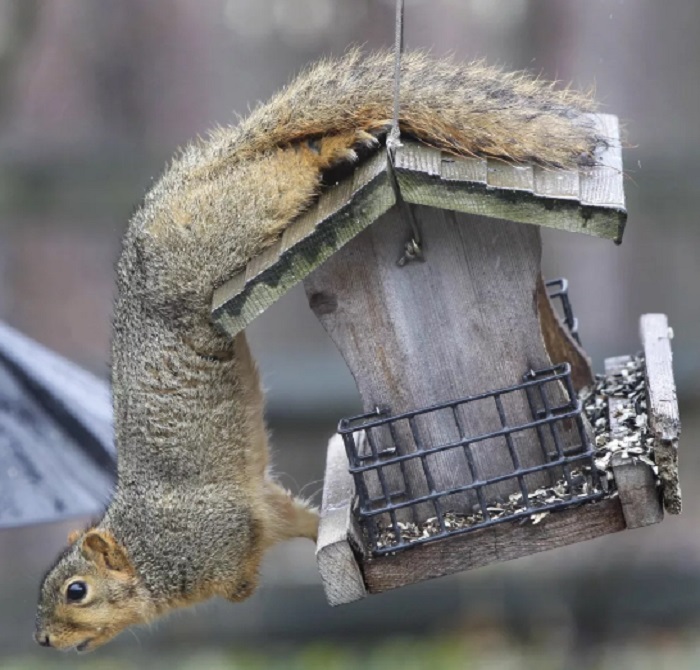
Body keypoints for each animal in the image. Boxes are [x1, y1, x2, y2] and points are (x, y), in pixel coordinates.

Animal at [34, 50, 600, 652]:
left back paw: (335, 148)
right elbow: (302, 521)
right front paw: (342, 534)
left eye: (76, 591)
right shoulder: (270, 505)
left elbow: (240, 569)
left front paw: (245, 587)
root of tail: (150, 223)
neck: (144, 550)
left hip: (219, 234)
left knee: (285, 168)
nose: (42, 640)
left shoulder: (213, 534)